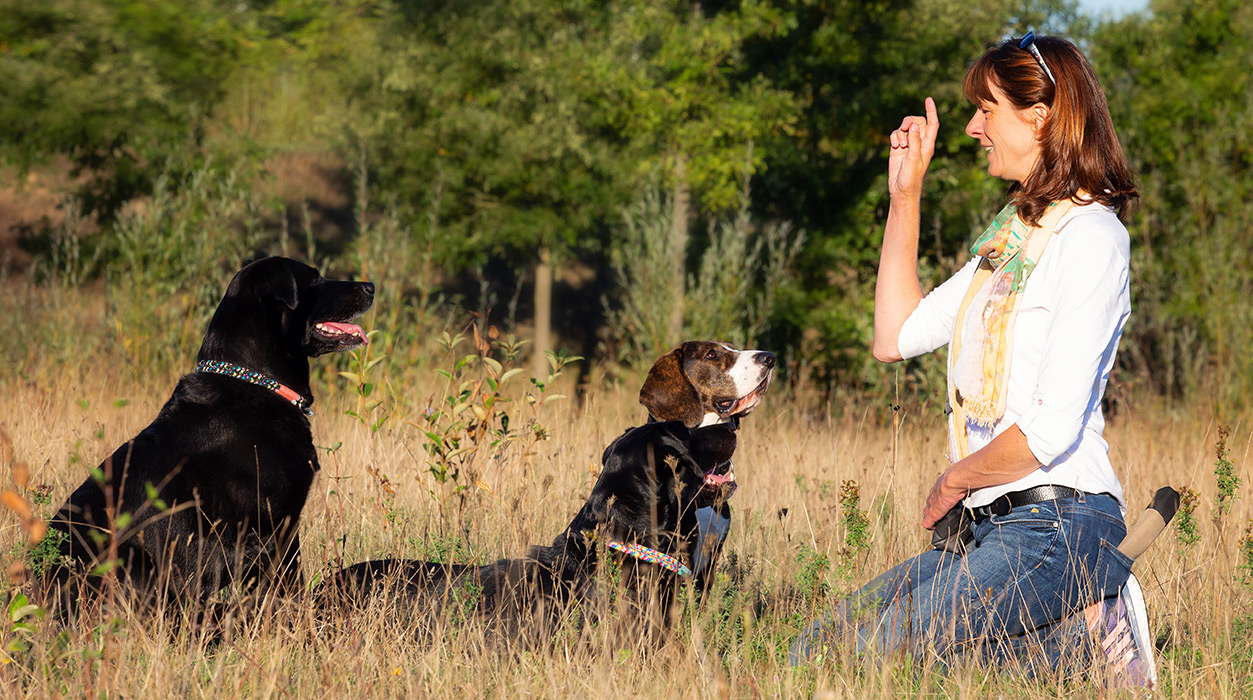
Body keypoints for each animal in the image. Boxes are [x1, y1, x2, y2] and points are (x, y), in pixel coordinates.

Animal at [45, 257, 375, 613]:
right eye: (314, 280)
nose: (371, 286)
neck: (255, 381)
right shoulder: (275, 527)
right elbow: (288, 592)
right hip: (133, 560)